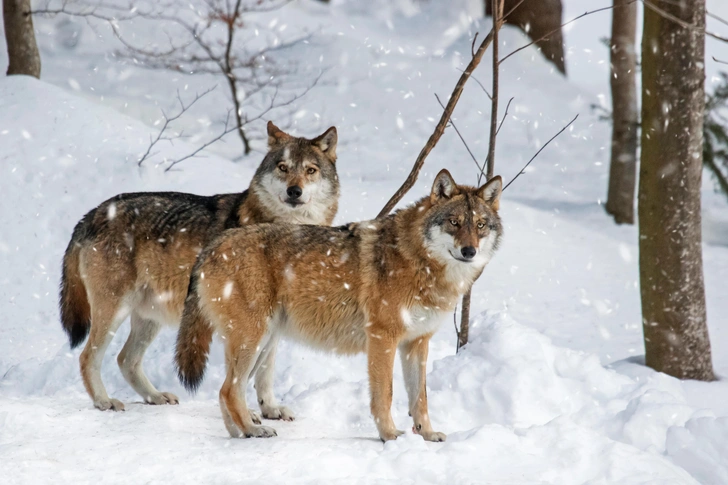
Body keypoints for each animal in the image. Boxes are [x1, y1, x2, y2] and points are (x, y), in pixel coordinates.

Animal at [59, 119, 342, 410]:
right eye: (283, 167)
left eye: (310, 170)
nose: (294, 191)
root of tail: (91, 213)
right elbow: (249, 373)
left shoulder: (273, 323)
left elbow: (266, 371)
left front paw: (270, 409)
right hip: (114, 310)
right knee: (87, 357)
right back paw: (104, 401)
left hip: (151, 317)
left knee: (125, 359)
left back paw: (156, 397)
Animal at [177, 168, 506, 440]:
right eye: (454, 222)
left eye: (480, 225)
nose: (469, 251)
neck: (421, 263)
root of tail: (213, 245)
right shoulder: (383, 338)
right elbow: (385, 395)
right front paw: (390, 436)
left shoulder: (417, 343)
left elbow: (420, 399)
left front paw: (426, 435)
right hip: (254, 340)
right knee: (229, 390)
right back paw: (253, 430)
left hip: (264, 342)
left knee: (227, 392)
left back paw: (241, 433)